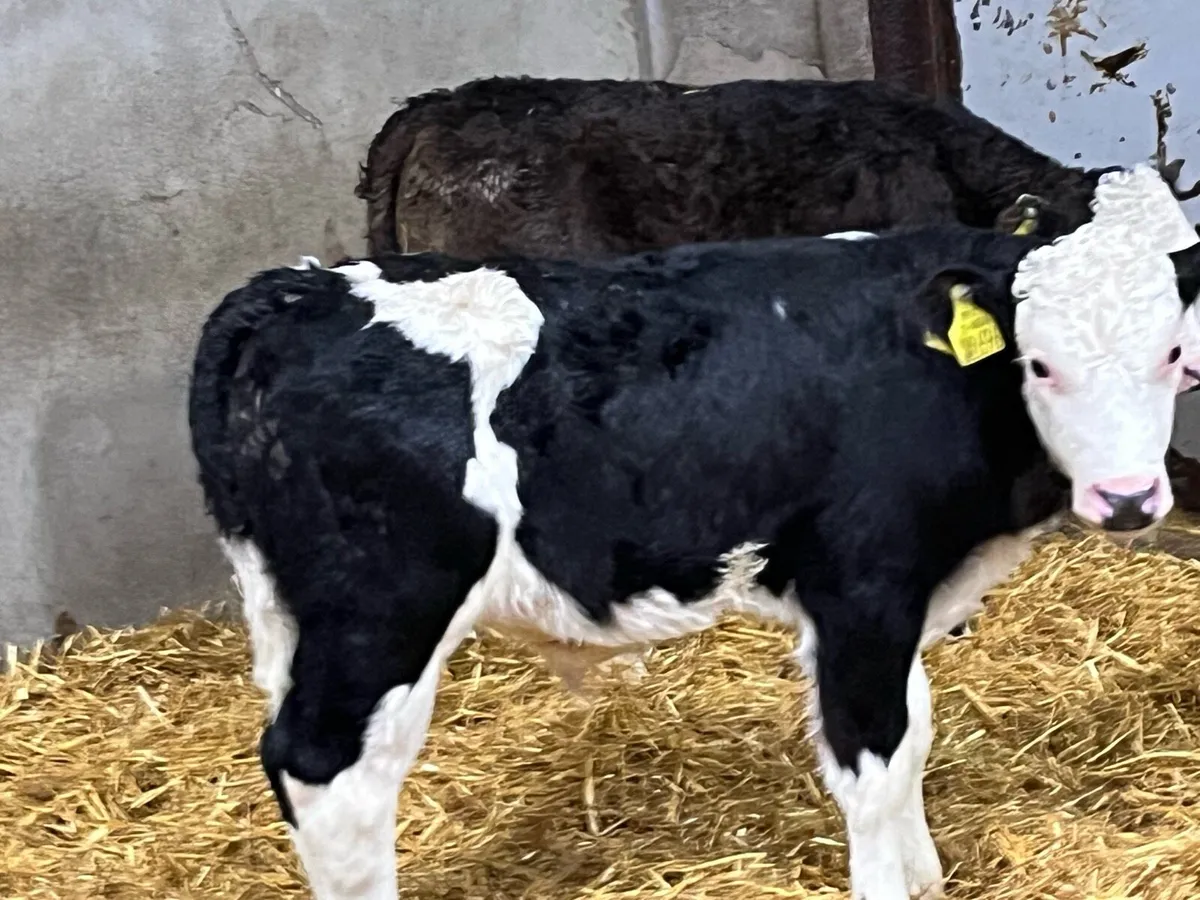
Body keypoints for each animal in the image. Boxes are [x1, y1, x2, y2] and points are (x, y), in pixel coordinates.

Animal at [190, 167, 1200, 900]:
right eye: (1040, 362)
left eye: (1174, 352)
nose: (1127, 499)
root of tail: (288, 292)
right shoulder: (859, 584)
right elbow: (873, 758)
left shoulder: (909, 591)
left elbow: (913, 732)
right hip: (383, 611)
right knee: (329, 773)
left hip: (295, 617)